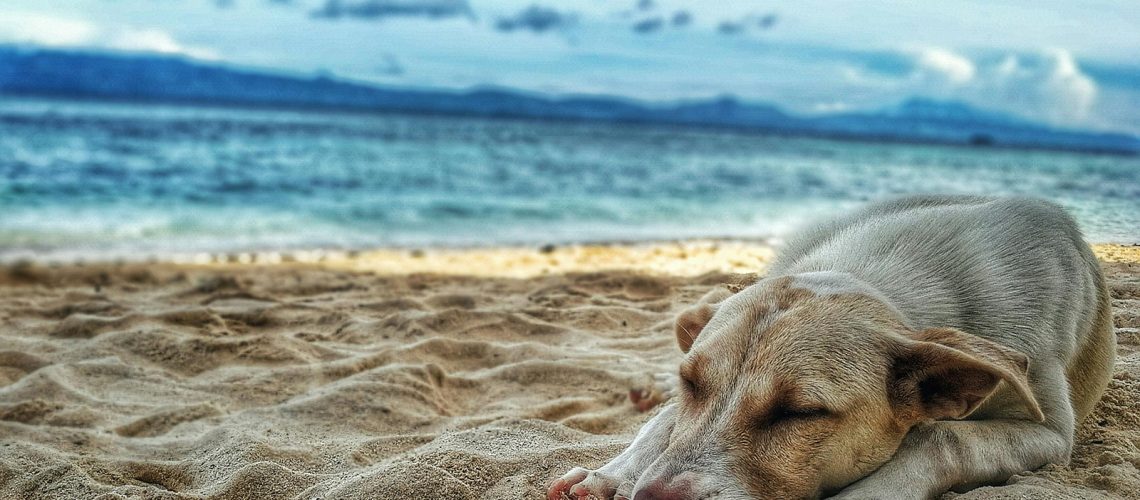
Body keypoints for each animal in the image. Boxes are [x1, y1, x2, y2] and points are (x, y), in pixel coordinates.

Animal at [547, 198, 1108, 498]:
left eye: (800, 412)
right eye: (691, 384)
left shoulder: (1050, 431)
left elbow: (943, 435)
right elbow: (664, 424)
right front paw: (609, 474)